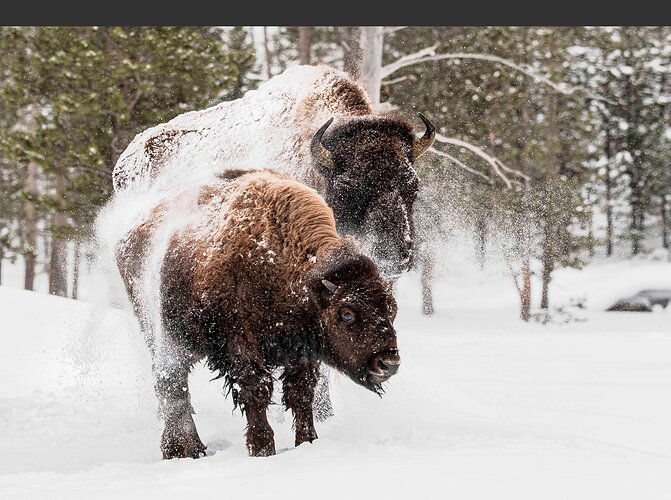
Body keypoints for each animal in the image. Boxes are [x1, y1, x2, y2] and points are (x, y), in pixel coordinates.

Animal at [115, 170, 402, 458]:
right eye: (346, 313)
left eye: (392, 309)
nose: (388, 363)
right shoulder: (241, 340)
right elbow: (257, 389)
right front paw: (263, 448)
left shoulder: (301, 348)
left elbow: (301, 392)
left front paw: (307, 442)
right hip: (164, 333)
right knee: (171, 382)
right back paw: (183, 449)